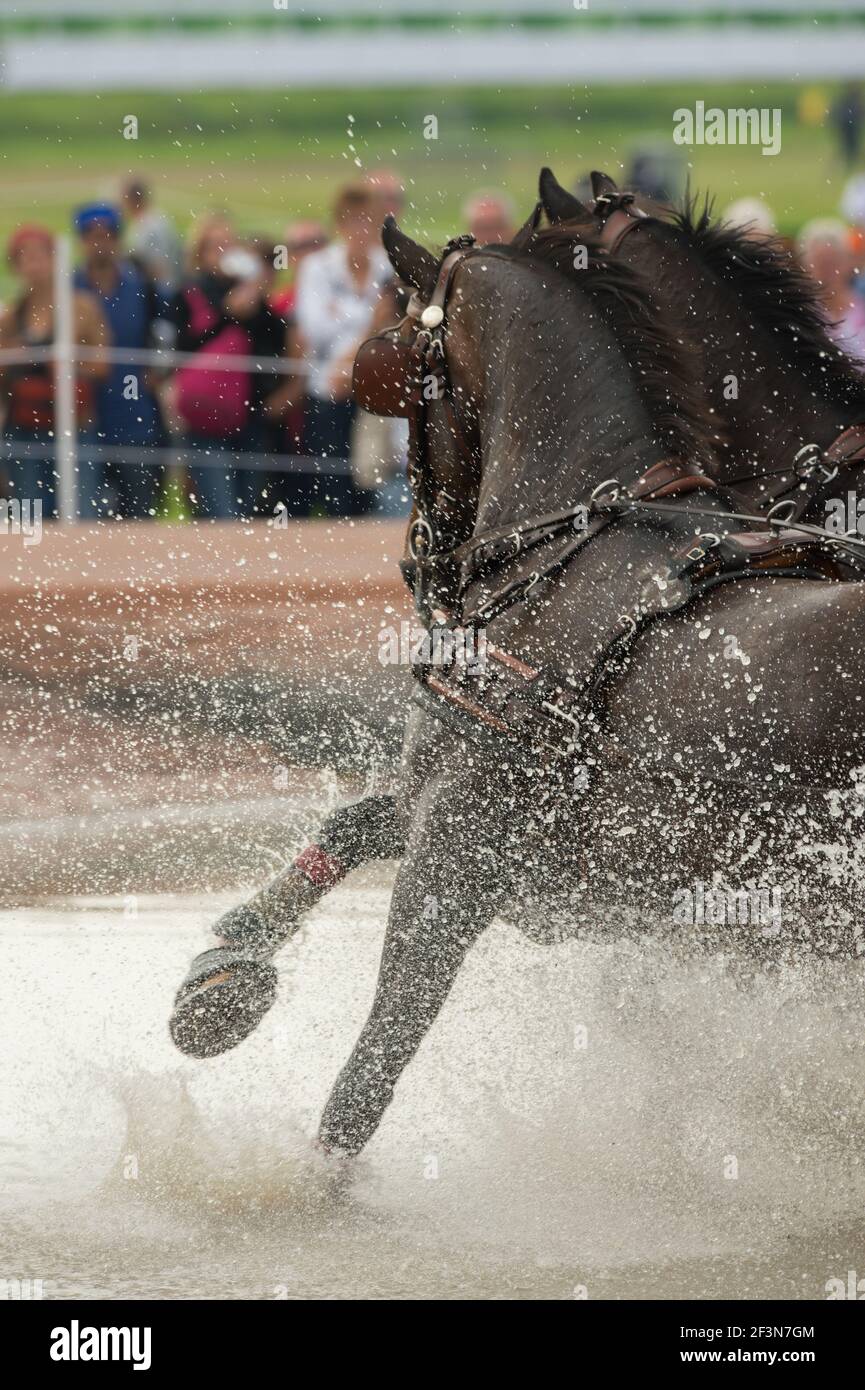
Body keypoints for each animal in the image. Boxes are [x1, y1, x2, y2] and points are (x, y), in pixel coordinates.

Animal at [173, 213, 865, 1158]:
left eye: (389, 360)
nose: (421, 562)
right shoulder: (470, 813)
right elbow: (351, 823)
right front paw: (226, 966)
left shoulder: (457, 857)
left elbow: (367, 1075)